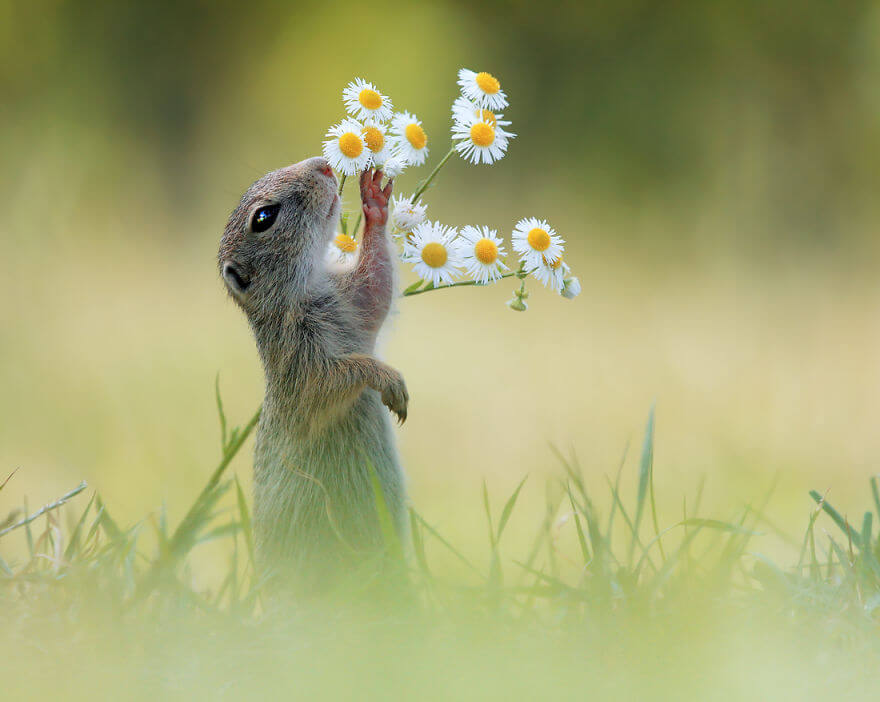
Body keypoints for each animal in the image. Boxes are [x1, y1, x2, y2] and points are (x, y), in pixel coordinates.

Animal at [220, 160, 412, 592]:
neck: (306, 292)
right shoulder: (300, 362)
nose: (323, 165)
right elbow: (333, 380)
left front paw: (374, 201)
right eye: (263, 217)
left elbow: (377, 286)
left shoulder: (354, 300)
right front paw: (386, 379)